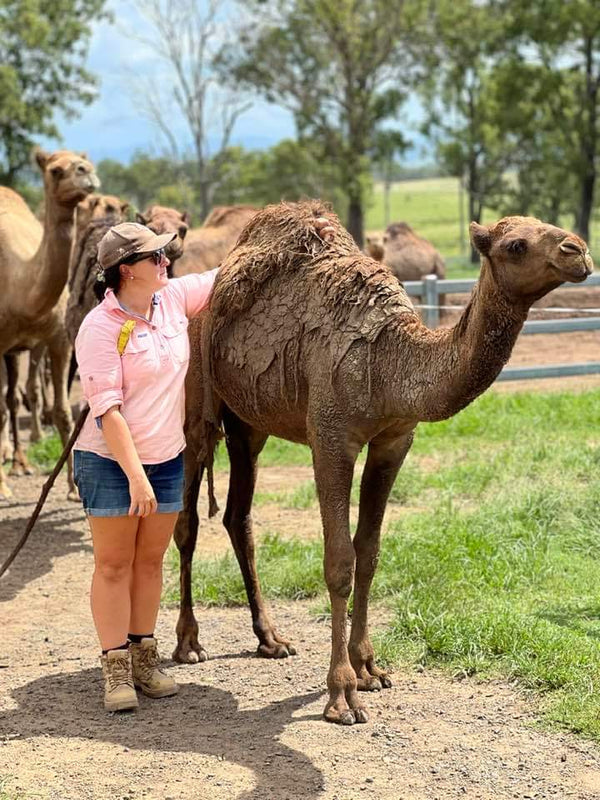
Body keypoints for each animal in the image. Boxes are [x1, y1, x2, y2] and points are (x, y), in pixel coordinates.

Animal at [0, 149, 99, 499]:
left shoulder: (58, 340)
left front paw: (73, 488)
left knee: (16, 397)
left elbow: (63, 412)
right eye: (55, 170)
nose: (87, 172)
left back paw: (20, 462)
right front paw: (2, 487)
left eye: (84, 162)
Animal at [172, 201, 593, 726]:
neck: (391, 359)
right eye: (515, 244)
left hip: (249, 423)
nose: (579, 251)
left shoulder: (394, 440)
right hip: (196, 405)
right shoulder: (331, 438)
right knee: (187, 519)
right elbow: (338, 562)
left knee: (238, 516)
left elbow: (368, 552)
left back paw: (271, 638)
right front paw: (341, 695)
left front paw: (369, 668)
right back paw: (188, 643)